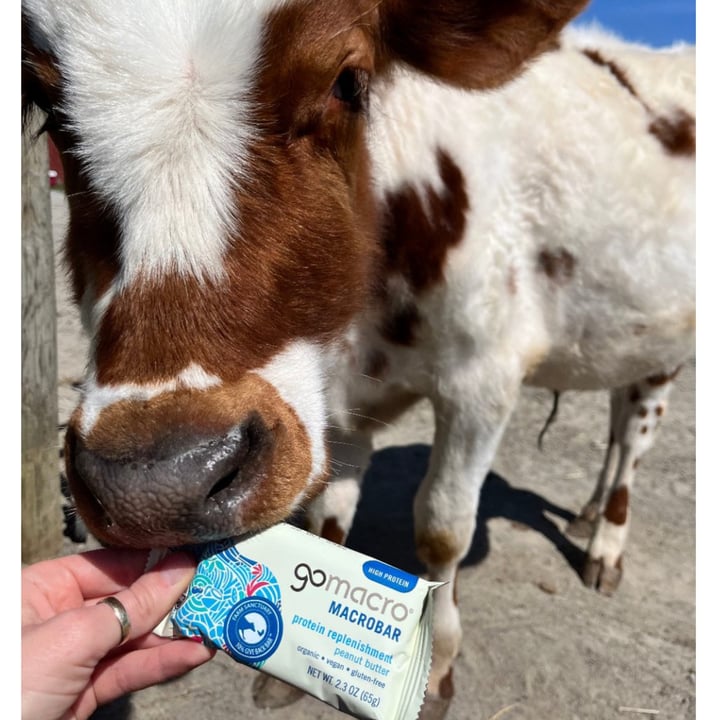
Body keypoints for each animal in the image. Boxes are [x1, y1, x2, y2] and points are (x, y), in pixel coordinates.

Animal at [22, 1, 696, 716]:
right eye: (49, 108)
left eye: (348, 82)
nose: (158, 485)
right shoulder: (331, 403)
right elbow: (328, 515)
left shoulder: (483, 377)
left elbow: (442, 527)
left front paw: (437, 666)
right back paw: (592, 510)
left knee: (634, 432)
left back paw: (607, 542)